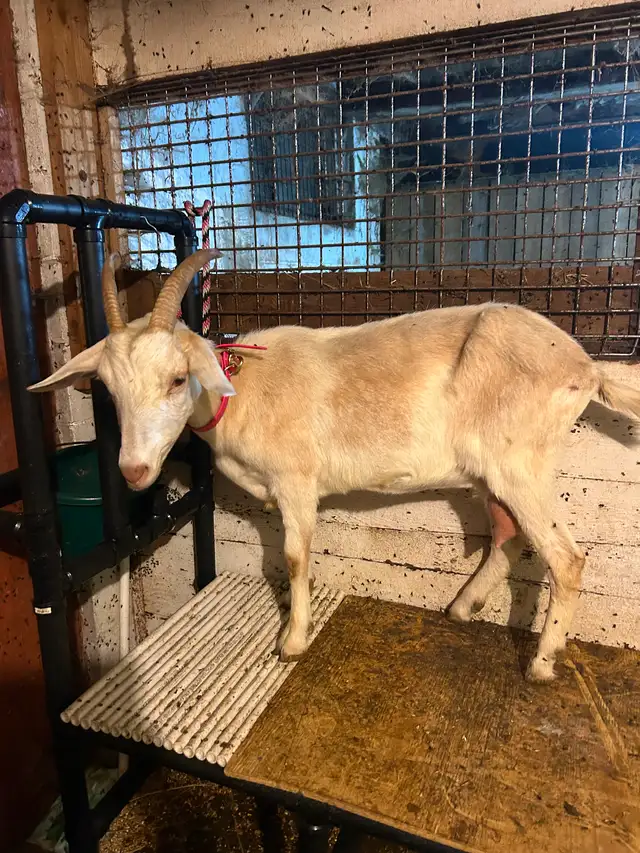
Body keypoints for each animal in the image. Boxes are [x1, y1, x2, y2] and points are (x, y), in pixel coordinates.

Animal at [29, 249, 640, 682]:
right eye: (107, 389)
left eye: (179, 379)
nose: (133, 470)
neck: (241, 392)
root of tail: (586, 367)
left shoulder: (297, 481)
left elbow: (295, 558)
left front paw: (292, 641)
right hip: (495, 470)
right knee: (508, 533)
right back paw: (463, 607)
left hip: (521, 460)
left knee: (567, 558)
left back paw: (541, 664)